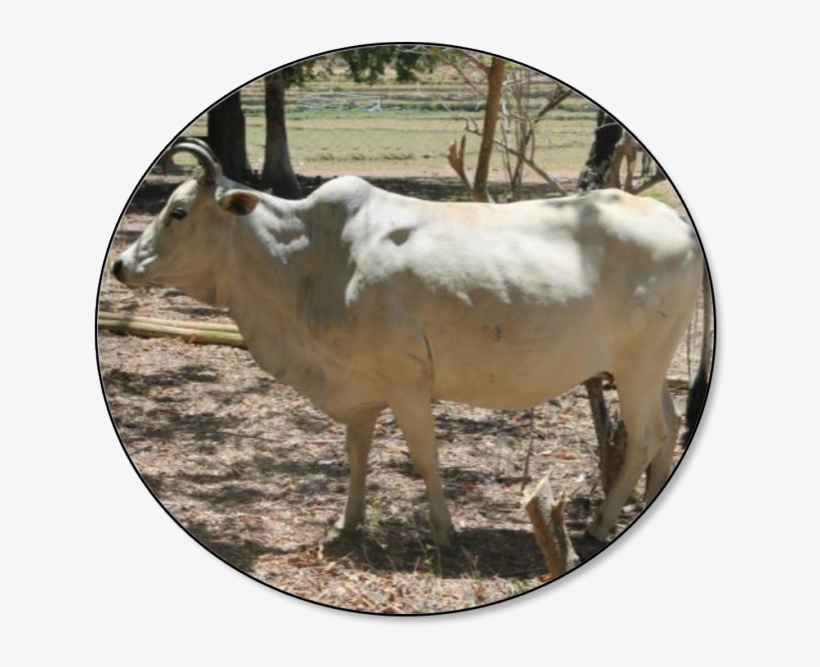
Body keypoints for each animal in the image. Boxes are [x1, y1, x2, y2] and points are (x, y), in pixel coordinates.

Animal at [112, 140, 706, 546]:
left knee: (646, 435)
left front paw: (444, 532)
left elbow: (424, 456)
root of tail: (672, 218)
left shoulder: (407, 381)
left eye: (179, 212)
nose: (120, 265)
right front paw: (345, 525)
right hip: (650, 367)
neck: (310, 258)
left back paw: (601, 523)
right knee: (670, 426)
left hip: (638, 365)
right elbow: (356, 455)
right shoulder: (360, 388)